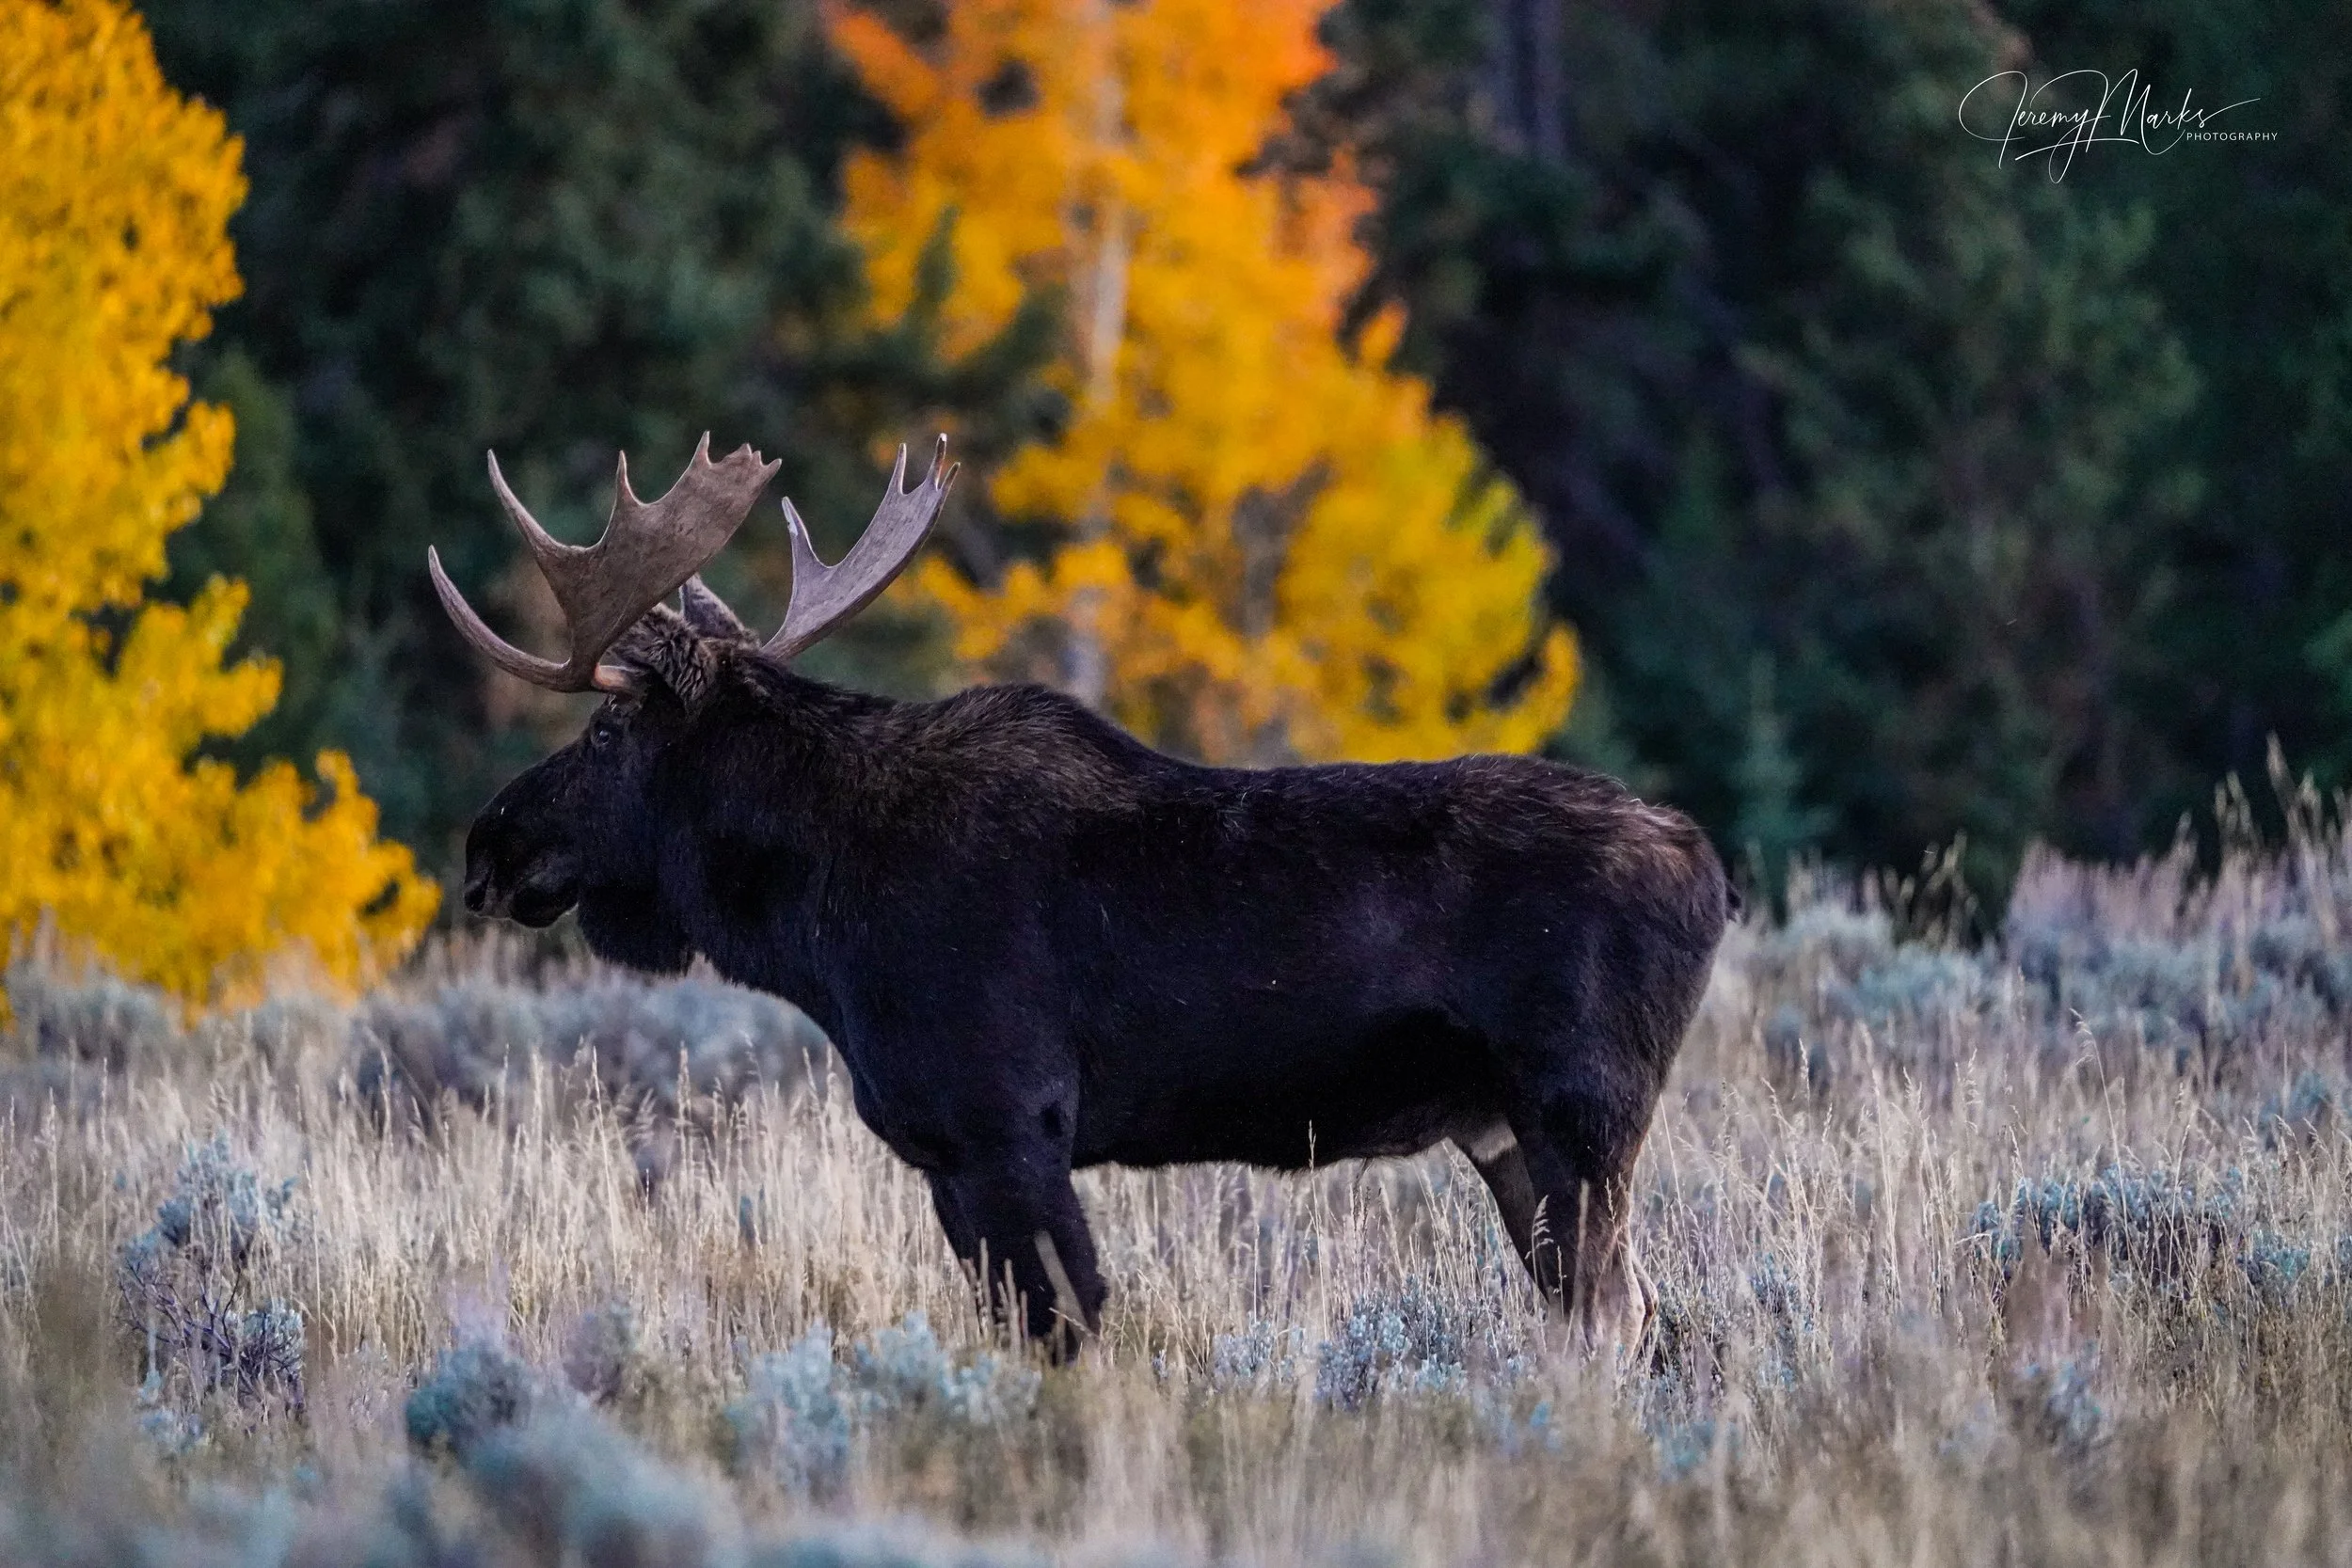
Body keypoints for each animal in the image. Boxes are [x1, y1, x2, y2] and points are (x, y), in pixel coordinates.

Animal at [431, 434, 1731, 1356]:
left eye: (605, 730)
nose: (487, 844)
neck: (814, 927)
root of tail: (1708, 871)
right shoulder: (946, 1152)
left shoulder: (1004, 1118)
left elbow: (1069, 1330)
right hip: (1504, 1129)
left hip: (1578, 1109)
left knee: (1616, 1318)